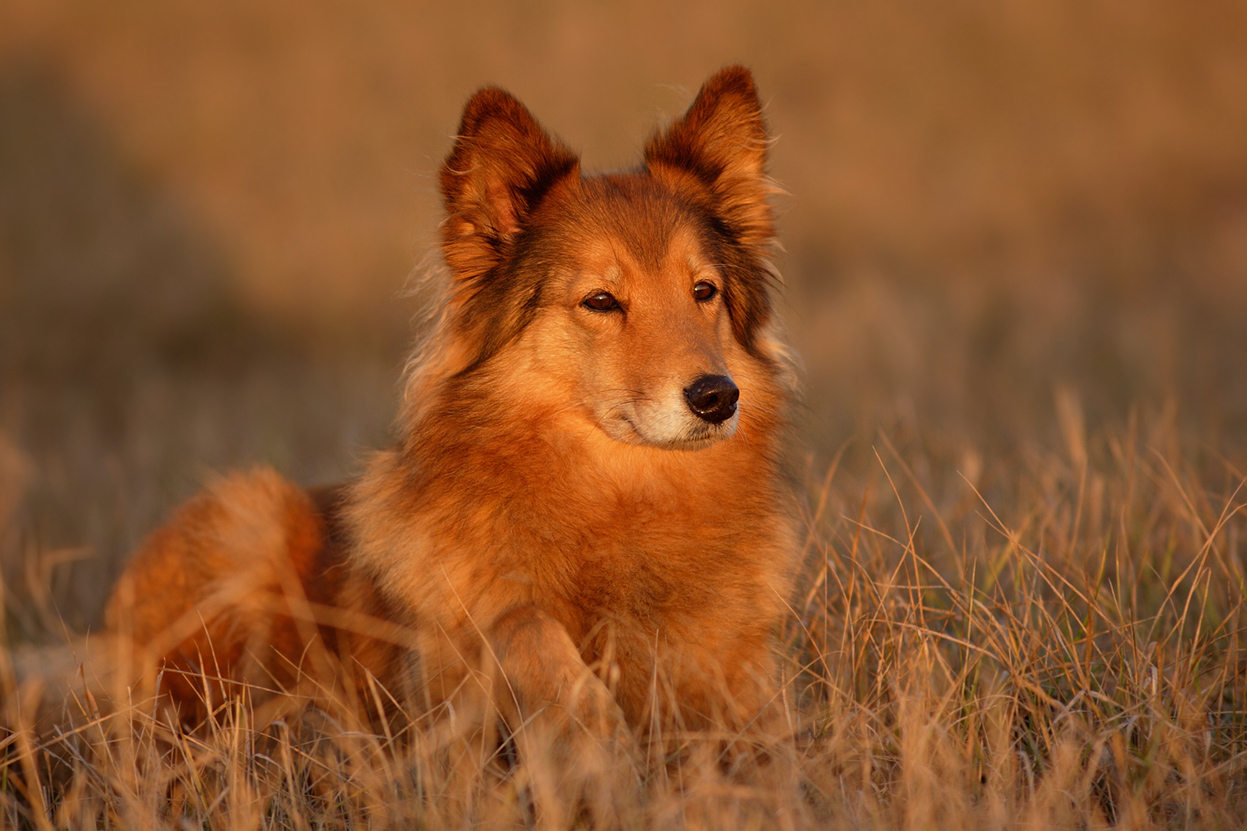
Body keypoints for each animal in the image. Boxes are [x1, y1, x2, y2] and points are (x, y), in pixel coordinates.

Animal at [102, 66, 793, 758]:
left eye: (704, 291)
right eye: (600, 301)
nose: (717, 397)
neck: (620, 502)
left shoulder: (744, 682)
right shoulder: (444, 702)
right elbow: (523, 623)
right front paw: (594, 733)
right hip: (247, 515)